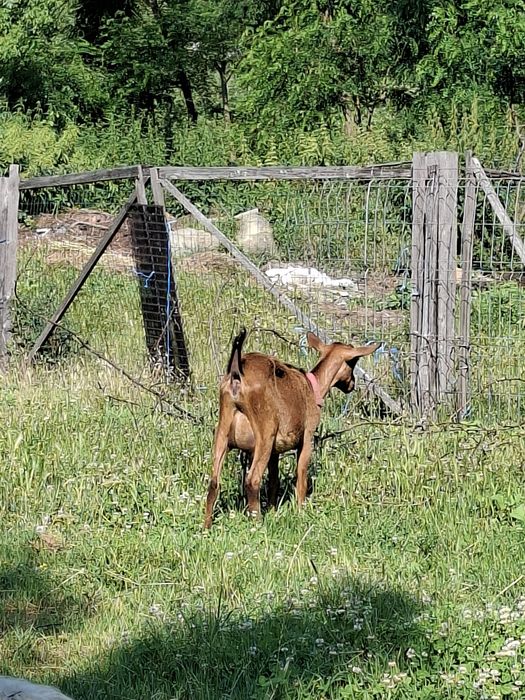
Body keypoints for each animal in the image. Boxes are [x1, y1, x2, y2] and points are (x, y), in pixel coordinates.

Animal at [204, 329, 379, 528]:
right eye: (354, 361)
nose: (352, 384)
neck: (313, 387)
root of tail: (236, 374)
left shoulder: (275, 452)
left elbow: (274, 480)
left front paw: (273, 509)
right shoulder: (307, 438)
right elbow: (301, 476)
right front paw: (301, 510)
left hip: (222, 432)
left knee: (214, 482)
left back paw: (207, 527)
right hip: (265, 434)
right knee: (252, 480)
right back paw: (257, 524)